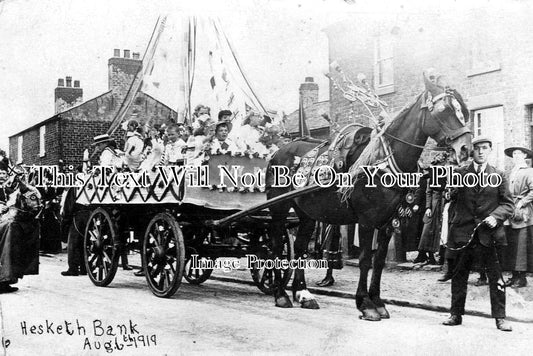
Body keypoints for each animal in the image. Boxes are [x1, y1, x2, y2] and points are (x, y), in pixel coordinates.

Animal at [266, 72, 470, 318]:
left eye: (461, 110)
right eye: (443, 110)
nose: (466, 148)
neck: (382, 161)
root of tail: (279, 151)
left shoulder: (388, 222)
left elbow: (379, 260)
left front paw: (378, 302)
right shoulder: (366, 220)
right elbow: (365, 260)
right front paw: (365, 304)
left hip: (306, 213)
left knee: (300, 247)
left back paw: (303, 293)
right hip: (279, 207)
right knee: (276, 245)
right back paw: (280, 294)